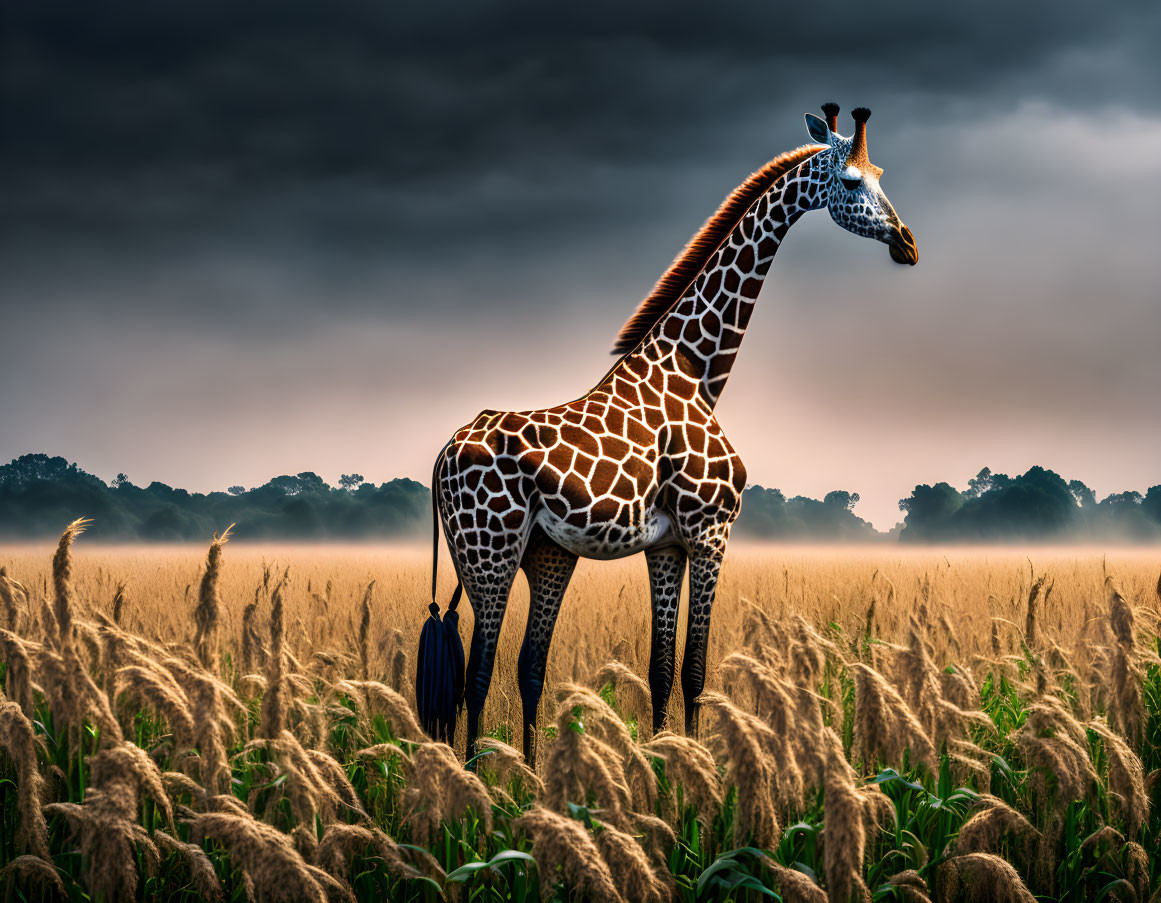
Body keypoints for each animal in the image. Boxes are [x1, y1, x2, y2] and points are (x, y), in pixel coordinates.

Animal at [427, 102, 914, 761]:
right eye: (852, 181)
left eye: (881, 173)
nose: (908, 244)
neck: (698, 370)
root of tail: (442, 455)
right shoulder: (711, 533)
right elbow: (697, 669)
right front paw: (697, 768)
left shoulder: (666, 545)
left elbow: (661, 669)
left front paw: (665, 765)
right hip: (490, 552)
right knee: (476, 673)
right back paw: (482, 779)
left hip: (541, 555)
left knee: (526, 665)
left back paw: (528, 774)